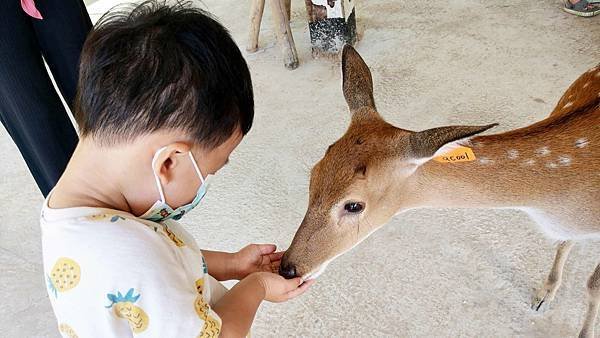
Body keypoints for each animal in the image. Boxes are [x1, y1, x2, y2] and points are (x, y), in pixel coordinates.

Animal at [280, 45, 600, 338]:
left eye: (354, 205)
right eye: (314, 174)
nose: (288, 268)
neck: (550, 201)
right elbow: (565, 244)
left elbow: (592, 285)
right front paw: (544, 294)